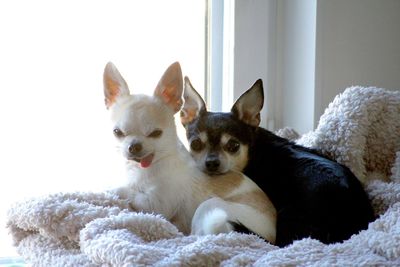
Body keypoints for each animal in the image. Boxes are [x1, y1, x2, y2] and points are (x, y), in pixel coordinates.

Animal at [101, 61, 276, 244]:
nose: (134, 146)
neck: (146, 168)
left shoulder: (156, 205)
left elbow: (128, 192)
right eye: (117, 132)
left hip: (211, 206)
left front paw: (112, 190)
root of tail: (267, 237)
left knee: (198, 234)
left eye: (156, 133)